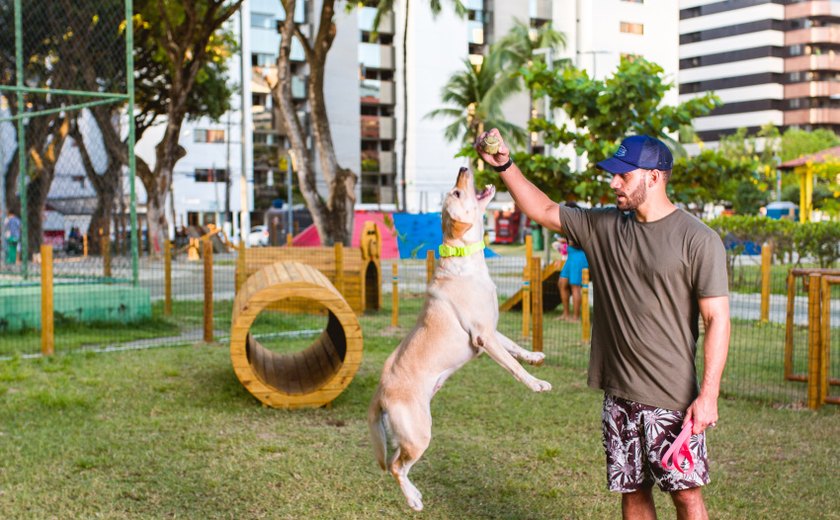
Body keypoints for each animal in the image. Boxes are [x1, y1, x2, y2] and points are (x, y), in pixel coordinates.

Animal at [368, 168, 552, 512]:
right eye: (456, 192)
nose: (464, 169)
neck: (465, 260)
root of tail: (380, 394)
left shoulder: (493, 329)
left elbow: (515, 349)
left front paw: (534, 356)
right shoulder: (484, 337)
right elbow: (513, 368)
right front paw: (535, 383)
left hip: (410, 432)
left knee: (397, 463)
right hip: (419, 433)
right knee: (397, 467)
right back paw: (413, 499)